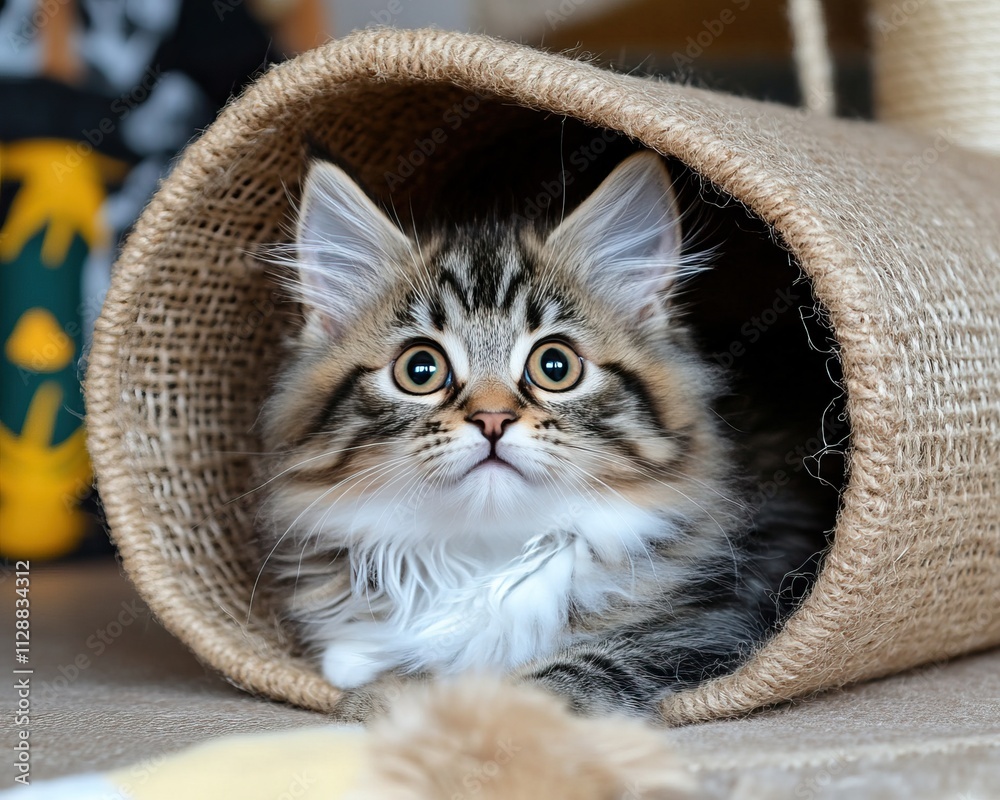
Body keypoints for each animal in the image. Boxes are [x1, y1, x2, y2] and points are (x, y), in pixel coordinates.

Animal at [260, 152, 828, 720]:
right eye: (420, 369)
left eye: (555, 366)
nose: (492, 419)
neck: (488, 553)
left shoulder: (715, 624)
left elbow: (559, 677)